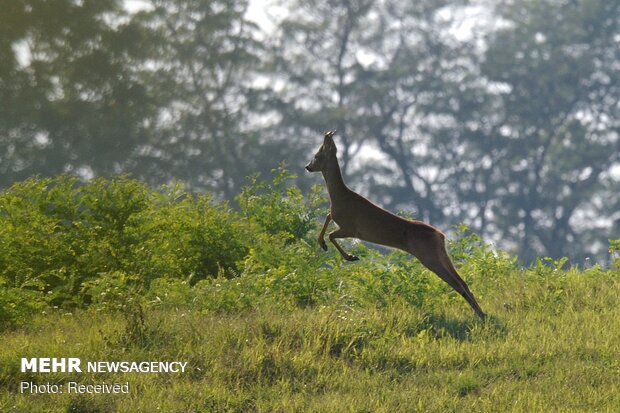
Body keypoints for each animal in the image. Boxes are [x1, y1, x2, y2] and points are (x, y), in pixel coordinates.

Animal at [308, 130, 486, 318]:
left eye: (317, 155)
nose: (307, 166)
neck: (340, 196)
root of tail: (441, 235)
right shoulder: (340, 221)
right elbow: (328, 217)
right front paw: (323, 244)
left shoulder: (351, 228)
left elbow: (331, 234)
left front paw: (349, 256)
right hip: (441, 254)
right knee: (462, 281)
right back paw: (482, 314)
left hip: (429, 257)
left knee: (457, 283)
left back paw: (481, 315)